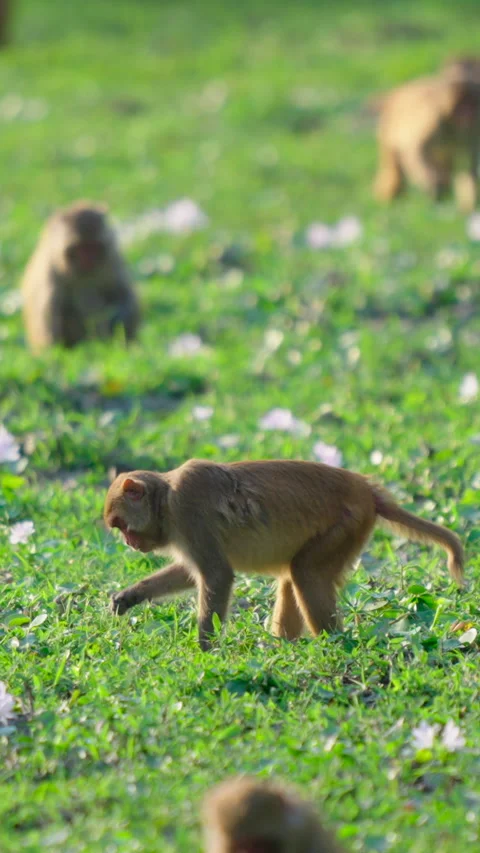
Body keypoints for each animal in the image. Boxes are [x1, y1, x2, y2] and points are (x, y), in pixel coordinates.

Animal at [21, 201, 139, 353]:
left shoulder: (112, 259)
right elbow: (48, 311)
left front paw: (121, 321)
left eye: (93, 247)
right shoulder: (50, 270)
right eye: (81, 249)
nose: (88, 261)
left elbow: (122, 293)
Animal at [103, 458, 465, 651]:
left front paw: (205, 649)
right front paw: (131, 595)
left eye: (121, 525)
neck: (165, 499)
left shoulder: (188, 510)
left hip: (347, 523)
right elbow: (193, 572)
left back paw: (332, 645)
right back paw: (283, 648)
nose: (130, 543)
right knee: (294, 574)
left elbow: (217, 574)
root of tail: (364, 490)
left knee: (305, 572)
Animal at [373, 60, 480, 211]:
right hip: (387, 129)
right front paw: (436, 183)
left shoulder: (474, 129)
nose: (468, 116)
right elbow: (415, 151)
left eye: (473, 106)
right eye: (464, 107)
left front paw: (467, 208)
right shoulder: (433, 118)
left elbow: (468, 165)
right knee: (394, 172)